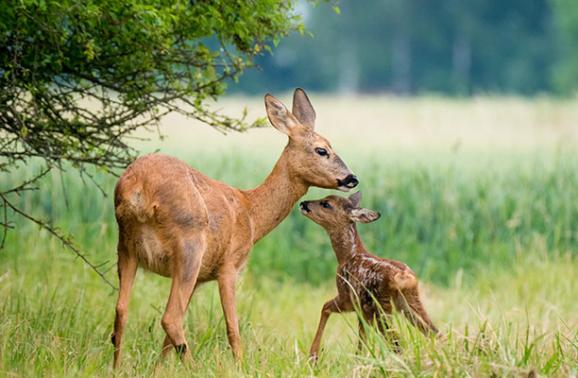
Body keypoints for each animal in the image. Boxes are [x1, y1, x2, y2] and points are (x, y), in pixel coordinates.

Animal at [110, 88, 358, 366]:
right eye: (321, 150)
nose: (352, 178)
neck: (251, 213)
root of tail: (140, 187)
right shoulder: (230, 265)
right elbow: (233, 327)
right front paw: (240, 365)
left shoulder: (201, 277)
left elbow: (167, 342)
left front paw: (159, 370)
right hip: (188, 245)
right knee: (170, 318)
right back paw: (193, 367)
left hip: (127, 245)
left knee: (122, 311)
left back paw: (117, 369)